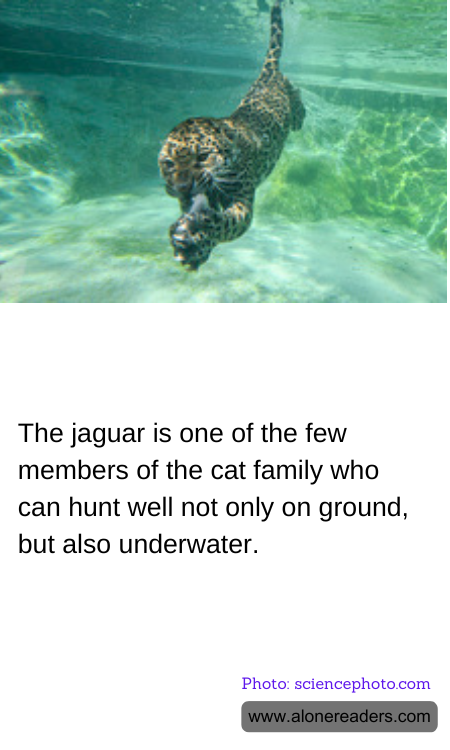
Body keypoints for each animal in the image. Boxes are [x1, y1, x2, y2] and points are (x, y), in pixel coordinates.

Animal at [158, 0, 305, 270]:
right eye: (169, 163)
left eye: (202, 157)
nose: (183, 187)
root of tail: (267, 74)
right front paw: (194, 246)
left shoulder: (242, 200)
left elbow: (225, 224)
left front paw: (201, 226)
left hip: (289, 93)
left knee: (296, 98)